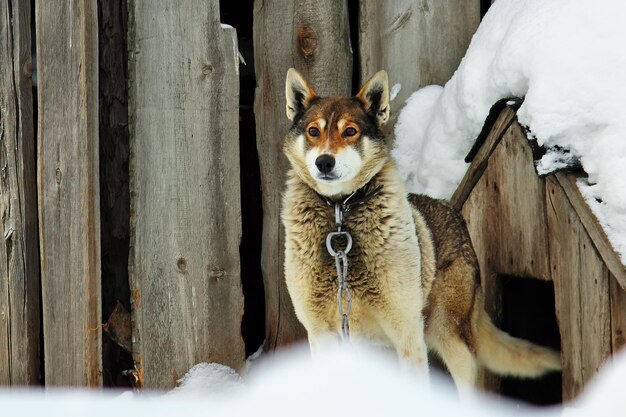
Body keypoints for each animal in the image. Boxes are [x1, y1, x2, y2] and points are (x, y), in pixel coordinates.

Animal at [280, 68, 560, 396]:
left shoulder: (405, 331)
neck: (340, 217)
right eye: (313, 131)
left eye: (350, 132)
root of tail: (452, 210)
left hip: (449, 336)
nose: (324, 161)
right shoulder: (320, 332)